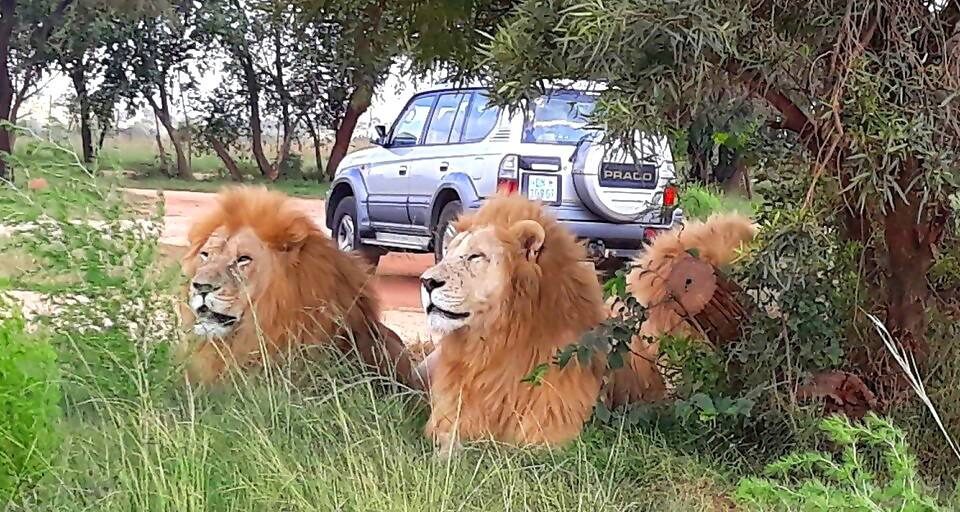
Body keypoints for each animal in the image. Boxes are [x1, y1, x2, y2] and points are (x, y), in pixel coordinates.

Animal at [418, 194, 608, 454]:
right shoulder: (449, 418)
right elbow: (449, 439)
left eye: (475, 256)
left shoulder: (553, 432)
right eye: (447, 254)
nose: (426, 282)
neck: (491, 348)